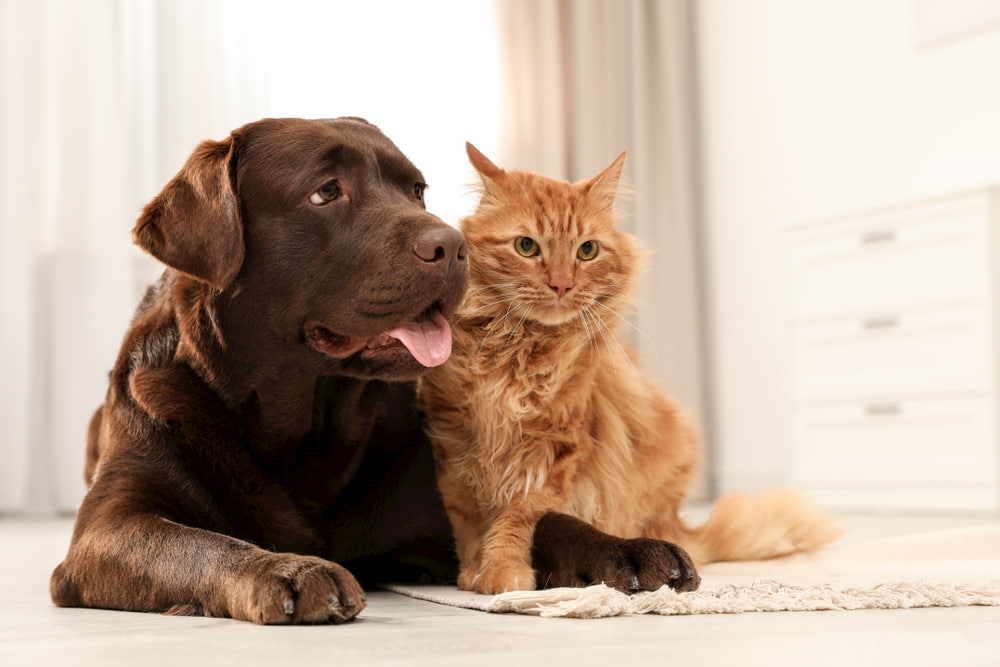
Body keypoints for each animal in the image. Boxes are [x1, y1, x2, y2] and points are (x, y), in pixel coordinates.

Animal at [418, 145, 840, 596]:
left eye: (587, 251)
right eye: (526, 246)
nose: (562, 285)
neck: (519, 350)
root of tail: (676, 522)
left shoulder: (553, 450)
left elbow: (519, 517)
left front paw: (502, 572)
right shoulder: (454, 443)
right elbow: (467, 519)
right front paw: (473, 570)